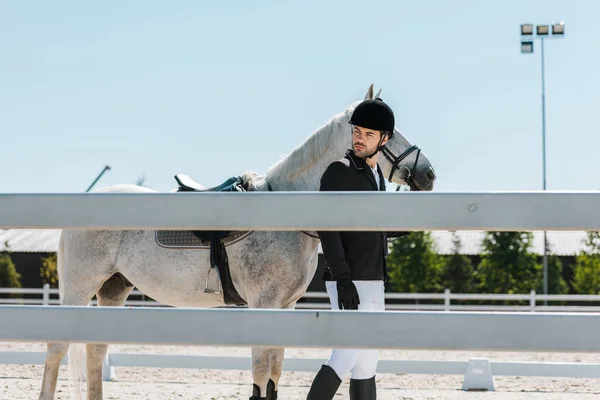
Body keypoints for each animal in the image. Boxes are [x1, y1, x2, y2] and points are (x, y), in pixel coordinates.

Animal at [37, 84, 436, 400]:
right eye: (389, 132)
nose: (428, 174)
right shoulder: (264, 303)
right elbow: (260, 372)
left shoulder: (285, 307)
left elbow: (274, 372)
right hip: (81, 287)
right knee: (57, 350)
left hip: (113, 288)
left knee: (94, 352)